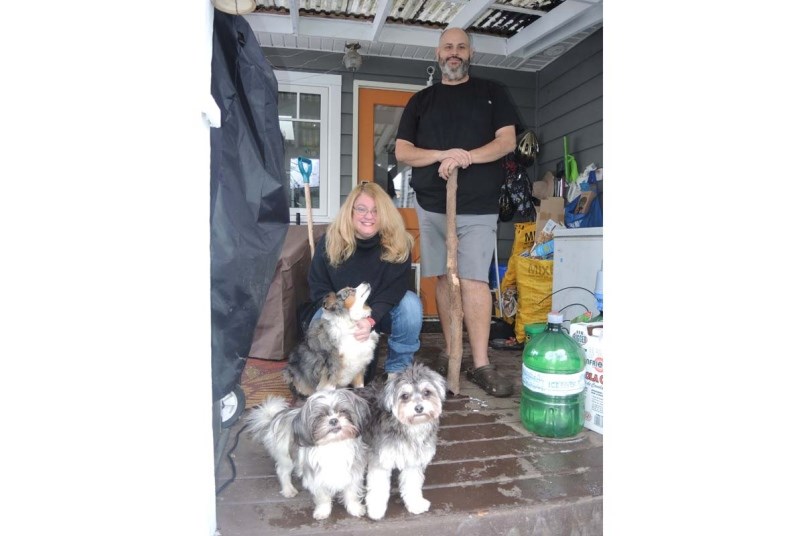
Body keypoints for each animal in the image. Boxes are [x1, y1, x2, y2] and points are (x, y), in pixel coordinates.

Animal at [243, 390, 372, 520]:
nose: (333, 420)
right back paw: (288, 489)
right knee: (282, 472)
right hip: (286, 457)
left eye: (343, 411)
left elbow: (351, 494)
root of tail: (277, 417)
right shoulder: (316, 477)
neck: (333, 444)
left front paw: (355, 509)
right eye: (320, 416)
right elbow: (323, 497)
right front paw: (323, 511)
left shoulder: (353, 473)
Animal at [356, 362, 450, 520]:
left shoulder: (413, 461)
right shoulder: (381, 461)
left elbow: (412, 484)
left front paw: (415, 503)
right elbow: (378, 488)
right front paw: (376, 509)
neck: (409, 428)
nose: (419, 408)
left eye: (427, 392)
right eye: (404, 396)